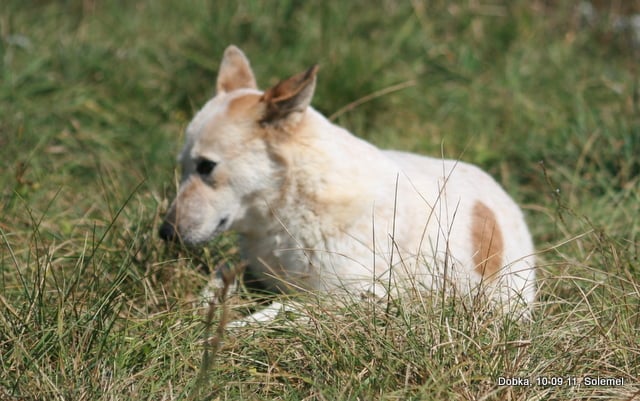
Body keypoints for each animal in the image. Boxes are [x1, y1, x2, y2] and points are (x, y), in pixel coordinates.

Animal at [159, 45, 536, 324]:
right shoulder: (251, 265)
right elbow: (220, 277)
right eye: (183, 167)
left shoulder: (363, 299)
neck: (294, 204)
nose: (164, 233)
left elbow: (279, 311)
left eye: (206, 167)